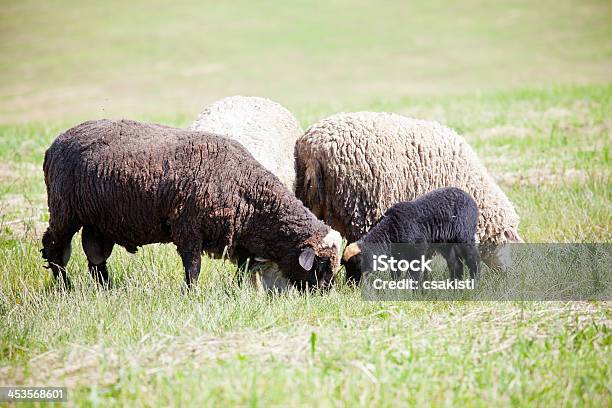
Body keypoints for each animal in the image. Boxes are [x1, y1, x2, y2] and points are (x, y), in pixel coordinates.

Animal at [342, 187, 480, 284]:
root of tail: (471, 200)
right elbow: (395, 274)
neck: (391, 228)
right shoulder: (396, 256)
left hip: (464, 236)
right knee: (456, 264)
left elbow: (414, 275)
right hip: (445, 244)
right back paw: (455, 287)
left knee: (473, 259)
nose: (350, 286)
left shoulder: (417, 252)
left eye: (358, 266)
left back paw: (474, 283)